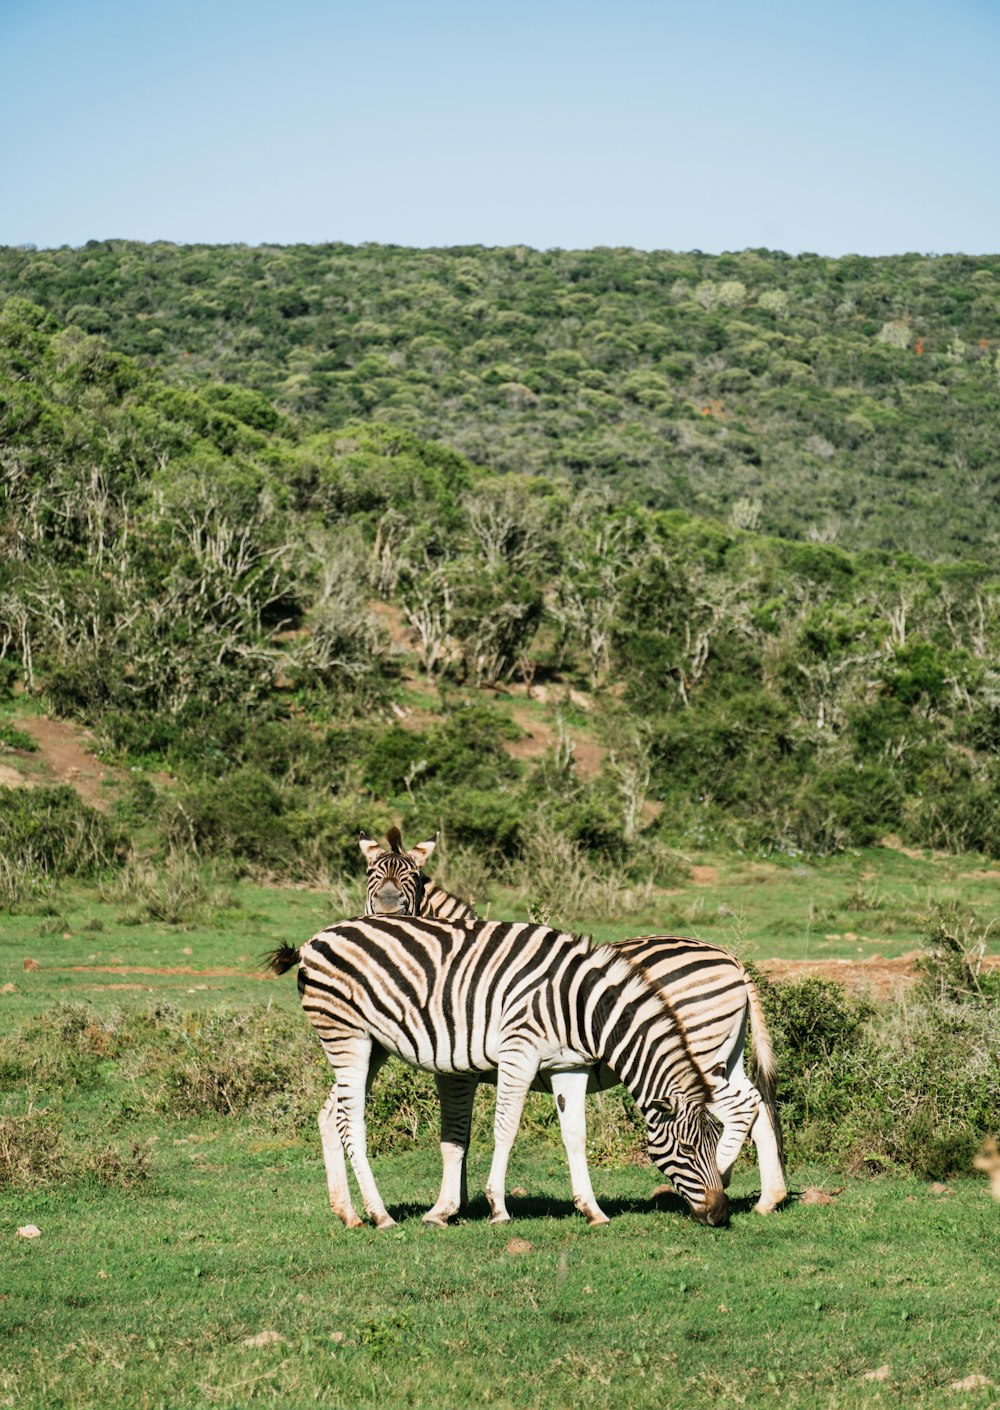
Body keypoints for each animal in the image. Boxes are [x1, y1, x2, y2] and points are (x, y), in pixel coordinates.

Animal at [260, 919, 739, 1229]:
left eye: (716, 1143)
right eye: (687, 1148)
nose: (720, 1214)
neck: (580, 1006)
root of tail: (314, 940)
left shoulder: (569, 1064)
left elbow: (575, 1135)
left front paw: (592, 1211)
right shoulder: (518, 1053)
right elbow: (504, 1129)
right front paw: (496, 1208)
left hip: (373, 1044)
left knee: (329, 1115)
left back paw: (348, 1214)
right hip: (348, 1036)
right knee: (350, 1121)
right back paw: (380, 1215)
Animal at [355, 829, 784, 1218]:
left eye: (411, 877)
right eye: (370, 873)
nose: (387, 911)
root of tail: (732, 961)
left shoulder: (460, 1067)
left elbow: (457, 1134)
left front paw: (449, 1206)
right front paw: (460, 1202)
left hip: (698, 1052)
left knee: (740, 1108)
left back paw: (725, 1177)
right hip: (726, 1054)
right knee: (757, 1104)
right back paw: (768, 1199)